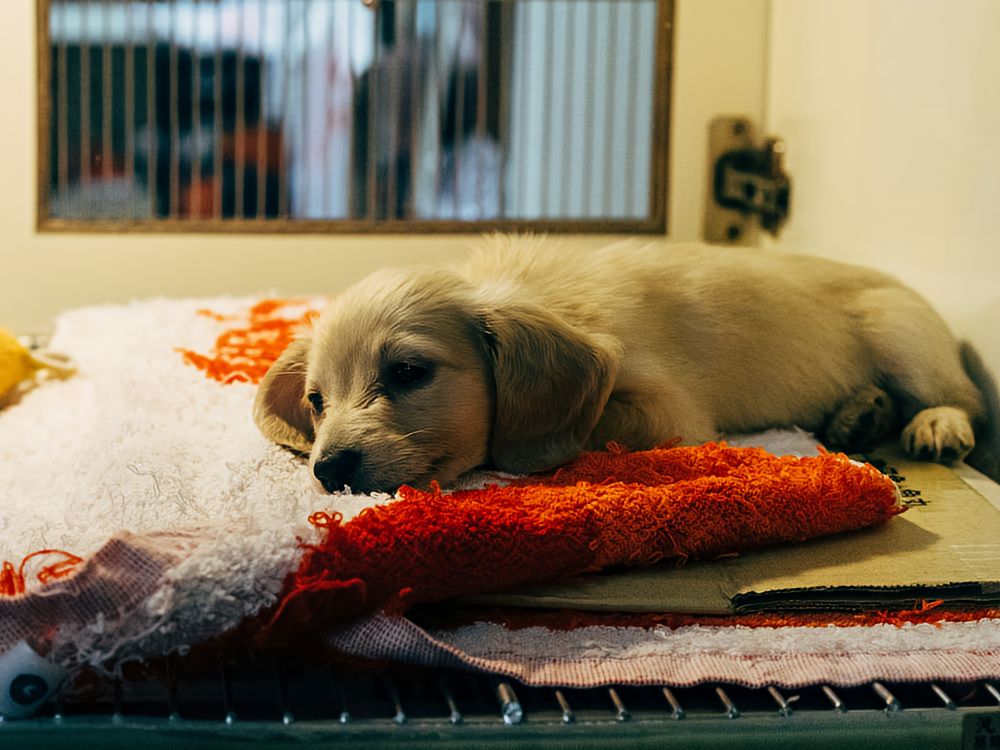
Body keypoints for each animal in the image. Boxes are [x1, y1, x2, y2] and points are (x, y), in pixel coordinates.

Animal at [252, 235, 992, 494]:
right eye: (316, 402)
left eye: (408, 372)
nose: (328, 470)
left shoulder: (671, 410)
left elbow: (590, 425)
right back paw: (858, 413)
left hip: (902, 334)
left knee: (964, 399)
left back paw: (936, 423)